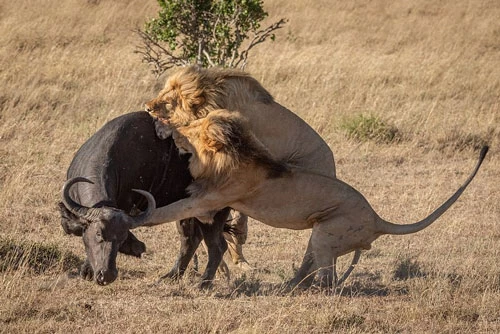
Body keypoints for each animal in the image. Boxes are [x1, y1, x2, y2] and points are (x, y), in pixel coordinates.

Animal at [59, 111, 230, 286]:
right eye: (99, 234)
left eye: (121, 239)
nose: (107, 275)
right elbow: (69, 225)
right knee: (190, 239)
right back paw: (172, 276)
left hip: (213, 212)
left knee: (217, 246)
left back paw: (203, 283)